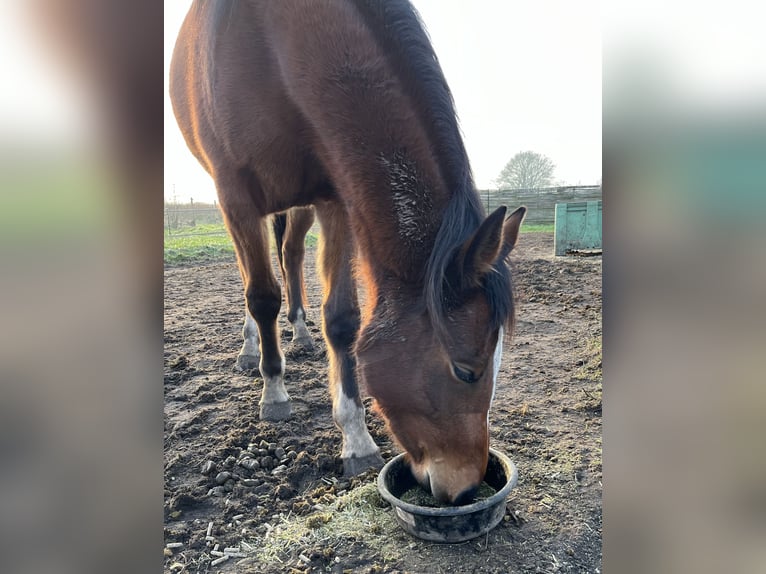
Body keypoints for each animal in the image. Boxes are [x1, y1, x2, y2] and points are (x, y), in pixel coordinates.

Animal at [170, 0, 524, 504]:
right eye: (465, 371)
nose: (467, 488)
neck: (271, 42)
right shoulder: (235, 195)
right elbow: (262, 296)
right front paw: (274, 394)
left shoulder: (334, 196)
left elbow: (342, 320)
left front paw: (356, 440)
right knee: (253, 282)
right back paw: (251, 349)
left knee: (291, 255)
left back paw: (300, 333)